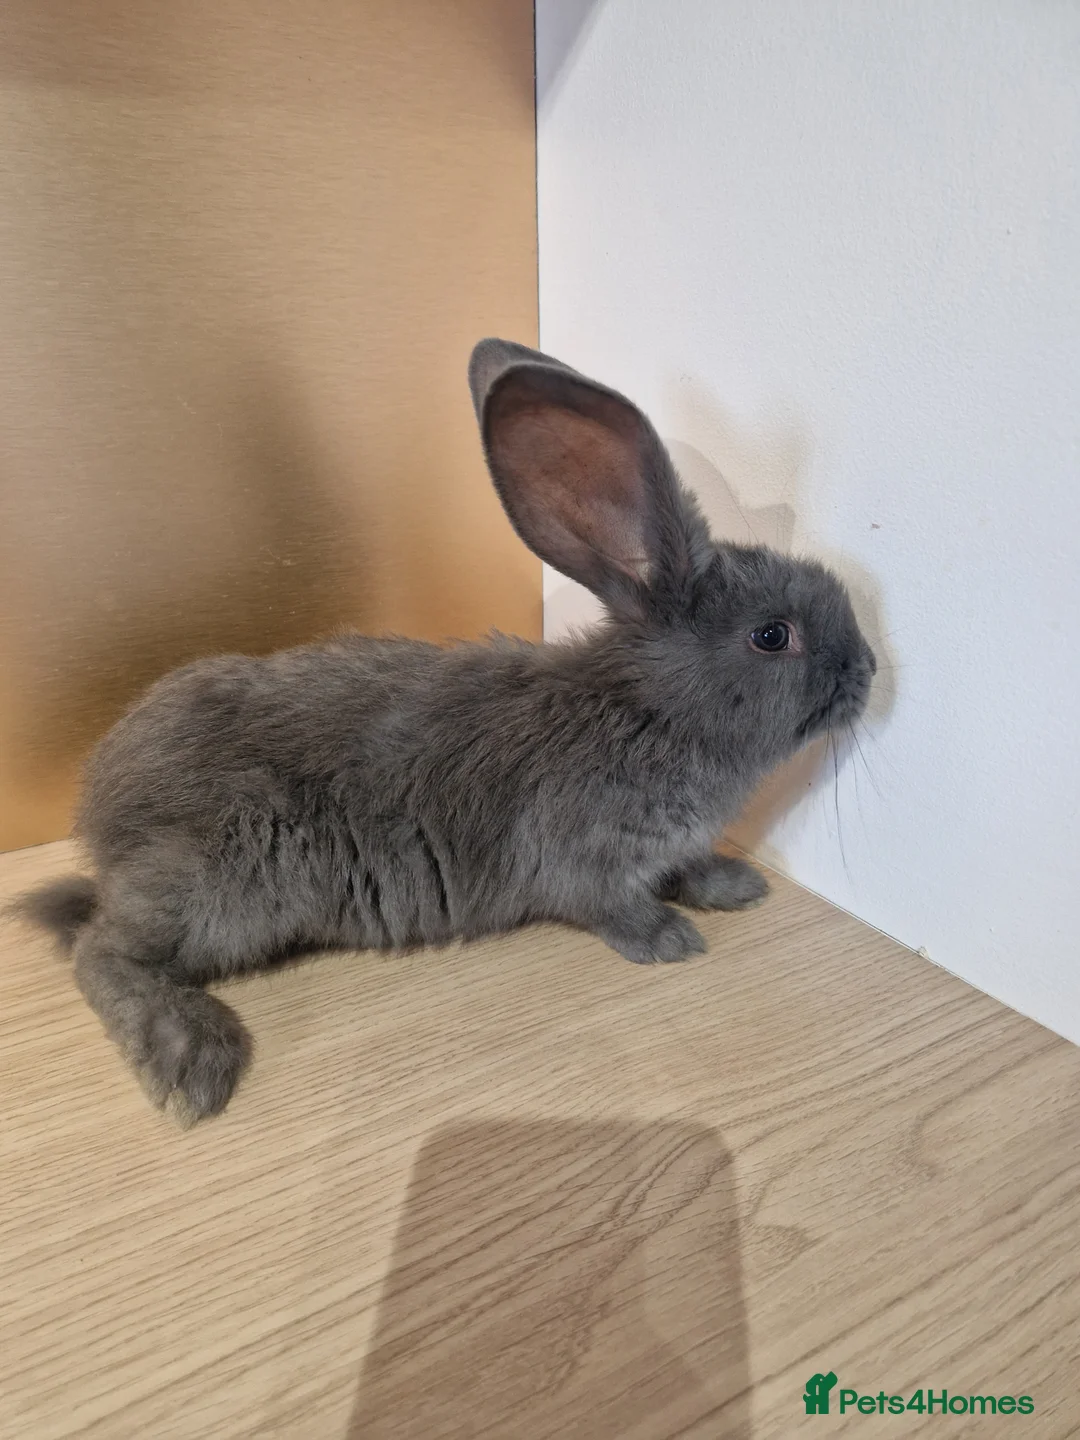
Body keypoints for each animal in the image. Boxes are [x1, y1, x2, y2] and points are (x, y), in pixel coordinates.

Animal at [14, 339, 876, 1125]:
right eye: (773, 636)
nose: (870, 668)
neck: (649, 709)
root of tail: (104, 824)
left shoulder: (671, 844)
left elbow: (690, 866)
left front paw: (737, 888)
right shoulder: (588, 862)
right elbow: (613, 906)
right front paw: (669, 941)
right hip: (225, 881)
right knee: (103, 951)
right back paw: (192, 1059)